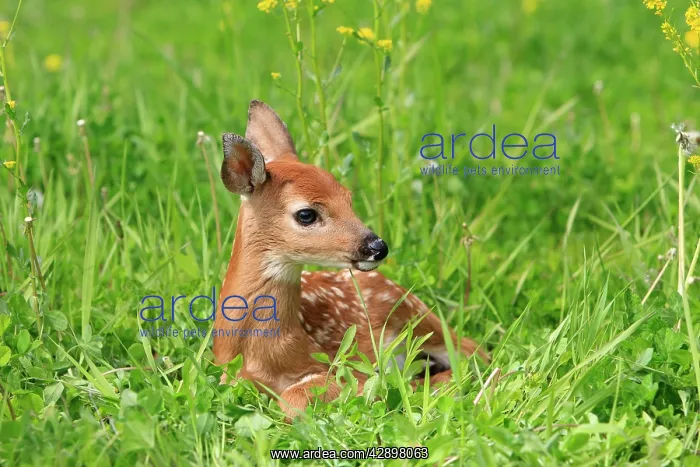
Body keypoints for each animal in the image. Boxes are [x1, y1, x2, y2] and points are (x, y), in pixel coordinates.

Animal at [212, 100, 488, 420]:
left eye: (348, 198)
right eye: (306, 214)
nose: (377, 246)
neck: (259, 351)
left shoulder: (338, 368)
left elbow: (295, 399)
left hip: (418, 316)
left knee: (477, 353)